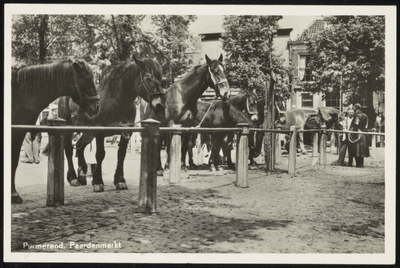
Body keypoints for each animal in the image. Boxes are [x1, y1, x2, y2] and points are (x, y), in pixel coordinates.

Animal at [11, 59, 100, 204]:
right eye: (87, 79)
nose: (97, 106)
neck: (21, 94)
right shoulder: (17, 132)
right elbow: (13, 160)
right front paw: (13, 194)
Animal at [58, 55, 165, 192]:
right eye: (148, 77)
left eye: (161, 78)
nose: (160, 105)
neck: (117, 102)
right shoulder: (100, 132)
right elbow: (100, 155)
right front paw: (98, 182)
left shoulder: (126, 132)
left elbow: (121, 154)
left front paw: (120, 180)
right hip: (68, 129)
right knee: (69, 150)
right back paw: (73, 178)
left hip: (88, 132)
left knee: (80, 146)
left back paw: (82, 174)